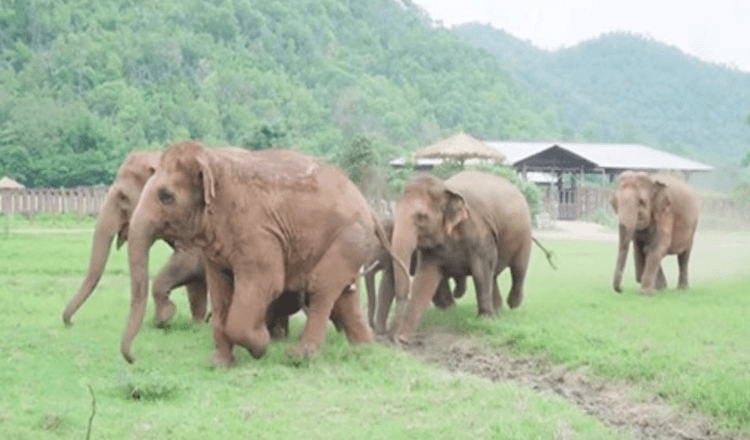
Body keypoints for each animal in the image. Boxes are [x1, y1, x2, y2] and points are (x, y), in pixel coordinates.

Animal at [61, 151, 209, 326]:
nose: (72, 322)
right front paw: (198, 323)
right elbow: (195, 276)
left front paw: (164, 318)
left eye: (123, 197)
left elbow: (191, 259)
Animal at [124, 142, 408, 364]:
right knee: (344, 295)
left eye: (166, 196)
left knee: (321, 286)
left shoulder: (258, 233)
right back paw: (364, 351)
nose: (133, 358)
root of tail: (369, 207)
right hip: (349, 242)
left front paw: (261, 345)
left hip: (349, 237)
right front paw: (220, 364)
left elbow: (267, 282)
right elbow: (220, 287)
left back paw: (299, 357)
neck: (213, 161)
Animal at [388, 170, 536, 342]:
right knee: (493, 276)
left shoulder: (480, 233)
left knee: (518, 269)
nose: (393, 337)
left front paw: (485, 319)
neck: (446, 187)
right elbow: (426, 277)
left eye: (421, 217)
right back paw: (498, 311)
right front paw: (404, 338)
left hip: (525, 234)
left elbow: (481, 272)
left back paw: (513, 303)